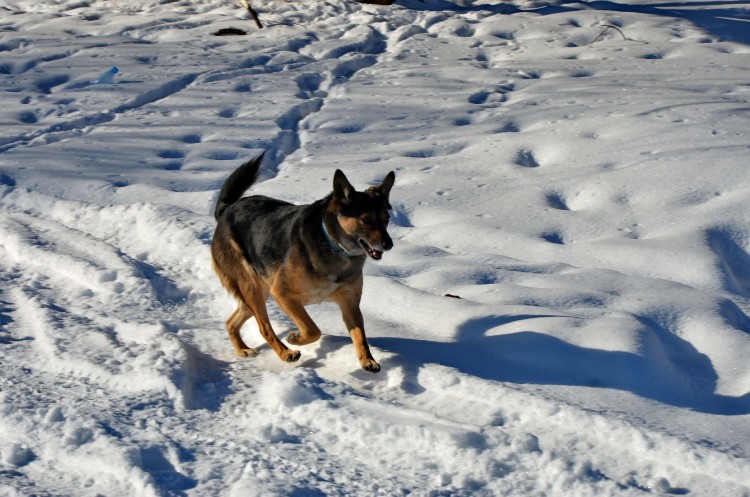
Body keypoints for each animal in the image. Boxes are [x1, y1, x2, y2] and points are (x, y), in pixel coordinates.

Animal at [212, 152, 396, 372]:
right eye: (366, 220)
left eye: (386, 220)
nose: (389, 244)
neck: (332, 243)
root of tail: (226, 209)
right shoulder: (283, 293)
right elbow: (312, 329)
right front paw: (295, 338)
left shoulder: (349, 304)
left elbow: (360, 335)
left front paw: (367, 359)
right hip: (252, 287)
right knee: (264, 327)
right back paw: (285, 353)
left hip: (258, 291)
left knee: (231, 322)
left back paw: (242, 349)